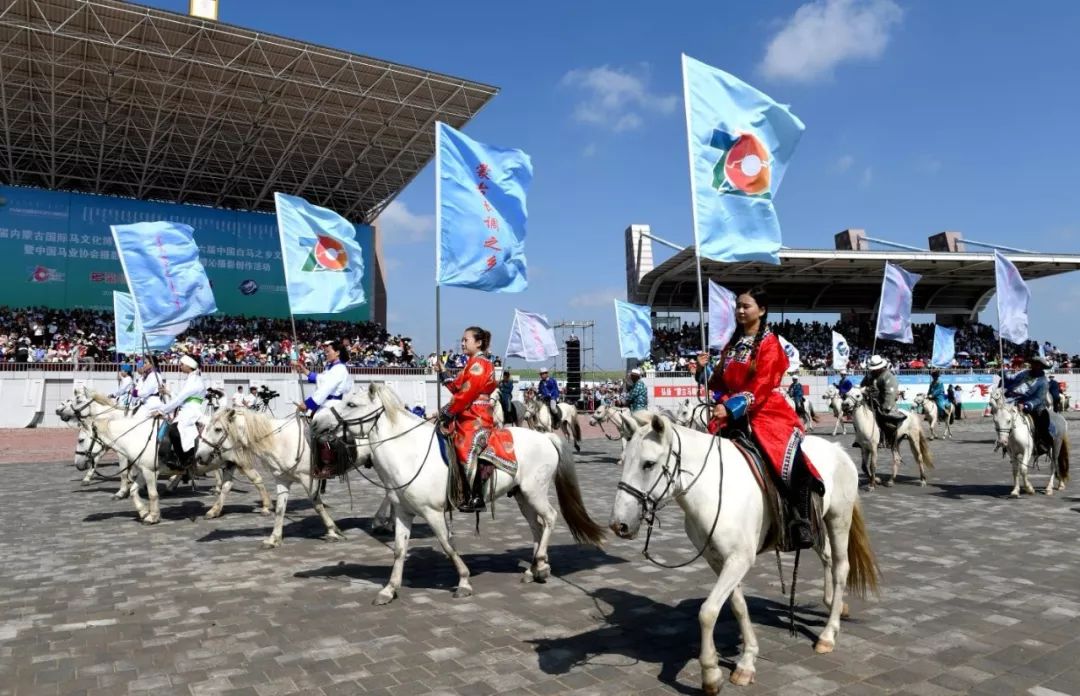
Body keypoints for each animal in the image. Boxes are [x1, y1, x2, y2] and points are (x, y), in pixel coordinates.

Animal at [311, 382, 609, 605]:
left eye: (351, 404)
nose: (315, 421)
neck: (409, 452)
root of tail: (545, 436)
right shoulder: (404, 513)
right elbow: (398, 550)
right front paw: (389, 589)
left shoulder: (432, 513)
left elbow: (447, 544)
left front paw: (464, 581)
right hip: (522, 496)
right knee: (536, 526)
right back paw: (533, 569)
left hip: (534, 491)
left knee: (549, 519)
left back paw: (542, 565)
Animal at [609, 415, 876, 691]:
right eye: (624, 460)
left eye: (648, 464)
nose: (619, 525)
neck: (714, 489)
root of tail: (838, 450)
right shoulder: (719, 560)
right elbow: (737, 606)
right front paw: (747, 660)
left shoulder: (739, 560)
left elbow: (708, 612)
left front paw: (711, 673)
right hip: (814, 528)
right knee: (826, 558)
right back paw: (834, 603)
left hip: (838, 518)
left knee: (840, 568)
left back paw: (828, 634)